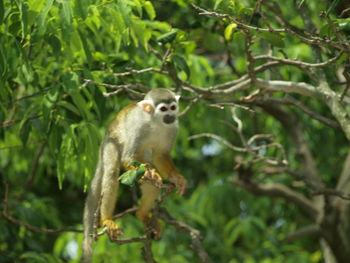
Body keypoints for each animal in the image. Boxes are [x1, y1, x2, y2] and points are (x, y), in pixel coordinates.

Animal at [82, 89, 187, 263]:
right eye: (163, 109)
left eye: (173, 107)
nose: (171, 115)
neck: (156, 122)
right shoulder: (139, 129)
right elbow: (127, 158)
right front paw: (152, 174)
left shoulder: (174, 128)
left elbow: (160, 155)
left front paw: (175, 178)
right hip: (110, 143)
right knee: (112, 171)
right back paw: (107, 219)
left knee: (150, 174)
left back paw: (142, 214)